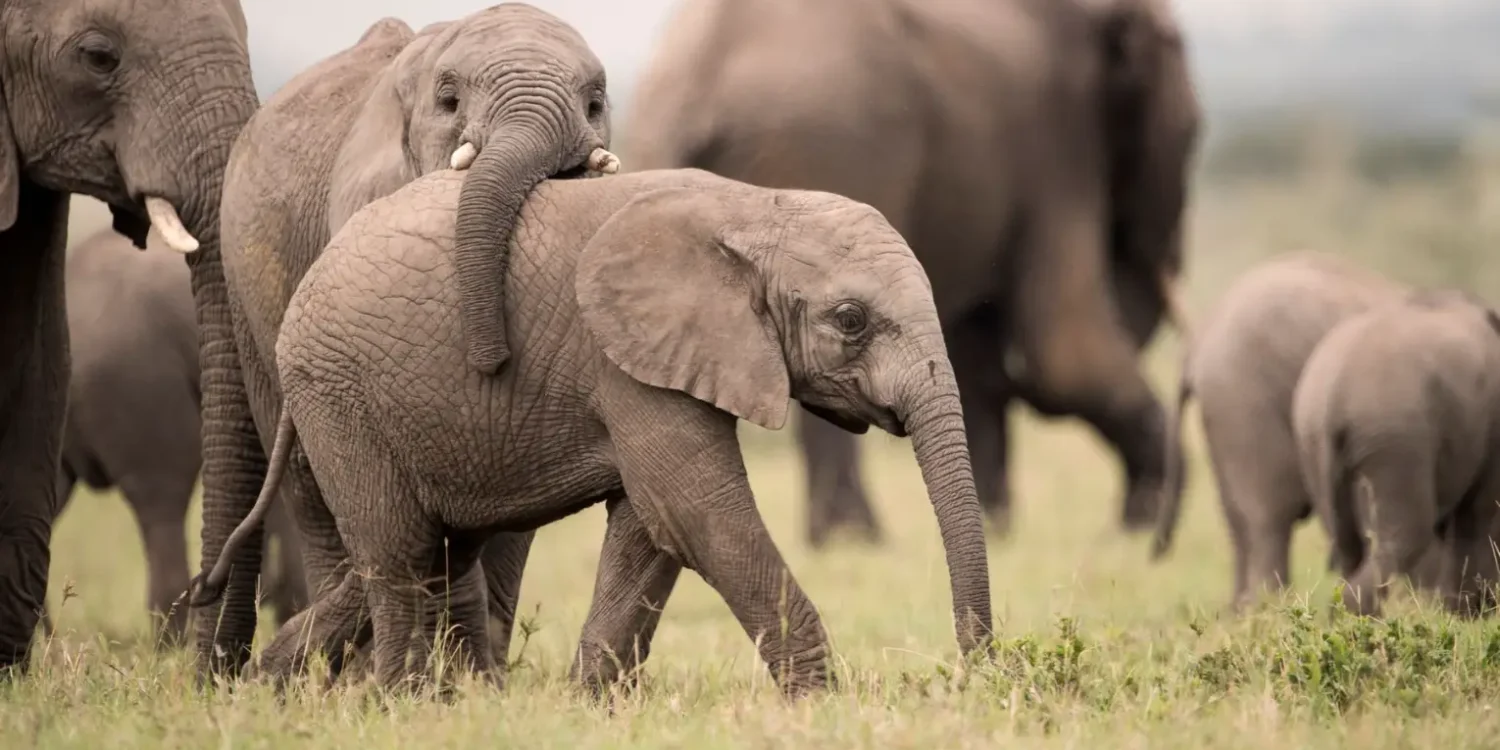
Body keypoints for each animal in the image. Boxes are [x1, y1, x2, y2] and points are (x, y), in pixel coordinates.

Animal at [195, 4, 619, 680]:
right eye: (449, 101)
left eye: (596, 101)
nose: (493, 357)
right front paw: (445, 685)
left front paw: (476, 680)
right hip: (246, 299)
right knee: (312, 489)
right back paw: (348, 676)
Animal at [197, 167, 994, 696]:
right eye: (851, 321)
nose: (974, 675)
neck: (755, 206)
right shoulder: (624, 361)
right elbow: (698, 515)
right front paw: (820, 704)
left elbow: (651, 528)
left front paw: (594, 702)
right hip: (337, 392)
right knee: (398, 550)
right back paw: (402, 700)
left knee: (429, 548)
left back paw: (270, 689)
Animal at [622, 0, 1201, 545]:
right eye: (1194, 133)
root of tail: (693, 89)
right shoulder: (1061, 146)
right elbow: (1064, 354)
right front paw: (1143, 523)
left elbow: (980, 353)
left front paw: (999, 531)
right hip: (830, 144)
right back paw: (854, 540)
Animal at [1292, 290, 1500, 617]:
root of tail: (1335, 394)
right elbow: (1478, 516)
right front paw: (1467, 617)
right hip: (1397, 436)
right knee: (1406, 535)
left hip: (1312, 441)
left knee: (1347, 541)